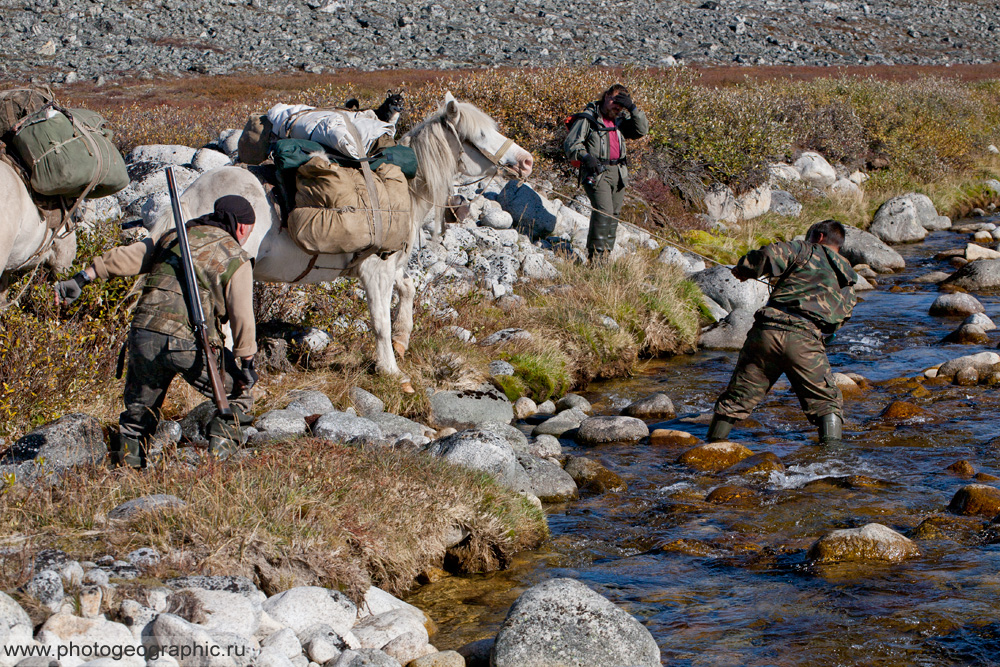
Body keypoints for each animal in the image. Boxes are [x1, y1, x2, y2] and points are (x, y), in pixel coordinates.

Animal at [149, 94, 536, 386]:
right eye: (480, 135)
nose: (527, 161)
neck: (406, 187)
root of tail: (188, 198)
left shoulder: (388, 264)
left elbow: (408, 289)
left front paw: (403, 339)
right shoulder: (375, 270)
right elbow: (379, 320)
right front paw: (391, 370)